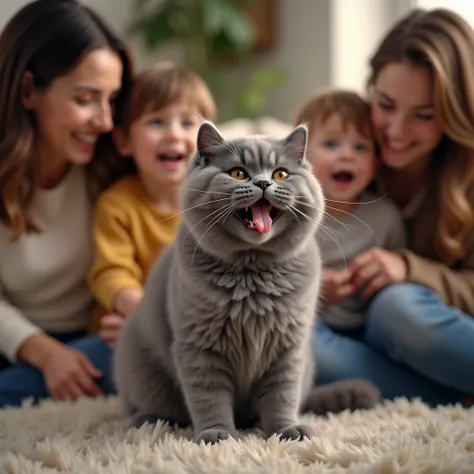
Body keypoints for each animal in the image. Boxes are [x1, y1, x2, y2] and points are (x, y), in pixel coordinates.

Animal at [114, 120, 382, 442]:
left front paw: (286, 431)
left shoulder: (287, 347)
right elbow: (208, 398)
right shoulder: (198, 347)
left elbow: (282, 395)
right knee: (148, 406)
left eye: (280, 174)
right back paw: (147, 423)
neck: (253, 274)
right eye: (238, 173)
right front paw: (217, 435)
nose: (264, 183)